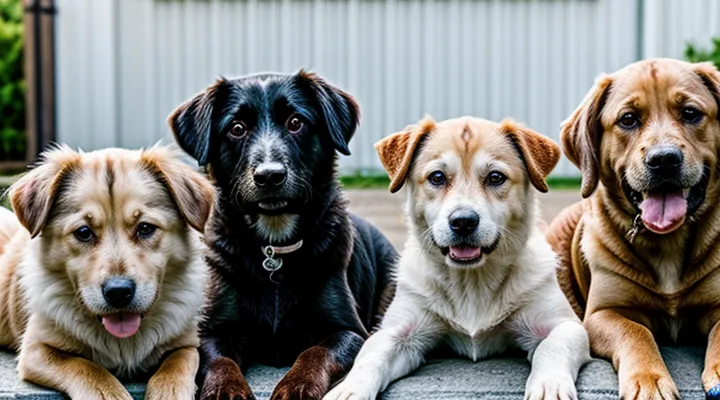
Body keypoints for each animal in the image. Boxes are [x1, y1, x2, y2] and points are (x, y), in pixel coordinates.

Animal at [0, 145, 214, 398]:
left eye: (145, 228)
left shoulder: (188, 344)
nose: (119, 292)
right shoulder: (35, 350)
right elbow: (86, 367)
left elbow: (176, 365)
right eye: (83, 232)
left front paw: (169, 390)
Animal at [169, 72, 400, 400]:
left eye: (295, 122)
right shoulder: (211, 330)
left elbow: (315, 352)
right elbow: (219, 360)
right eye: (236, 128)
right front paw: (226, 388)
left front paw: (297, 385)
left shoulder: (351, 331)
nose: (269, 175)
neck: (273, 245)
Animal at [326, 115, 592, 400]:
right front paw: (349, 389)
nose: (463, 222)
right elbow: (370, 358)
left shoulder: (565, 325)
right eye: (437, 177)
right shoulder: (397, 332)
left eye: (496, 177)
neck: (471, 282)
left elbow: (552, 347)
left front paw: (549, 385)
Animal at [544, 57, 720, 398]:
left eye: (690, 113)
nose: (664, 160)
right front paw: (649, 380)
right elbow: (636, 331)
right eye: (628, 119)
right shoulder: (602, 314)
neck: (668, 240)